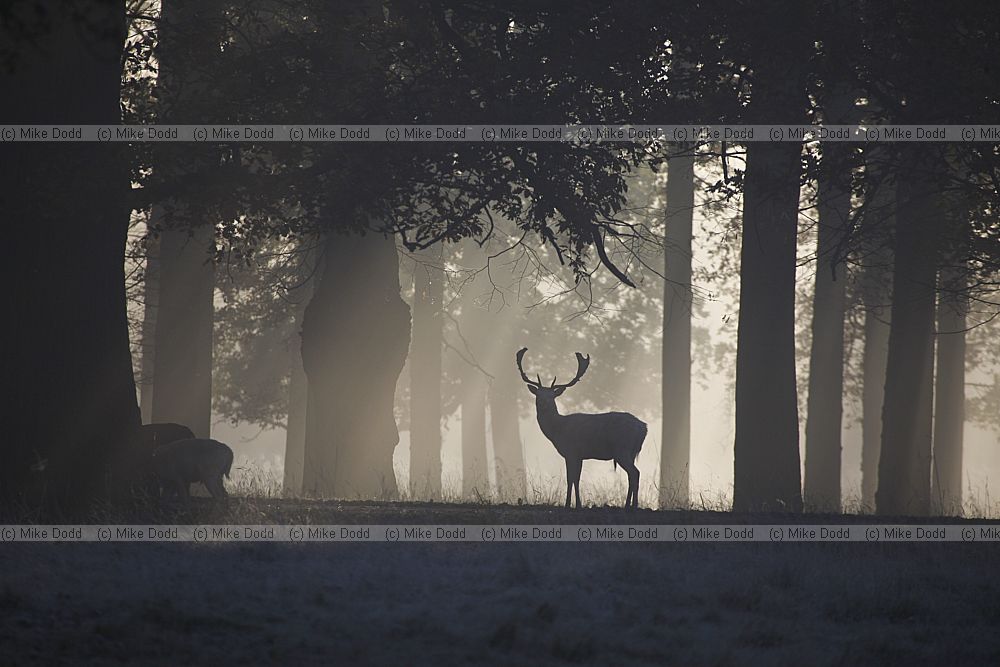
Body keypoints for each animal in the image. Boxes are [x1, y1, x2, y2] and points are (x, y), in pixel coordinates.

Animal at [516, 347, 647, 509]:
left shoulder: (571, 452)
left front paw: (570, 504)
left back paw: (633, 505)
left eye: (552, 396)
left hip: (622, 449)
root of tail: (643, 427)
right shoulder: (578, 455)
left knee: (635, 473)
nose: (544, 403)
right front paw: (574, 504)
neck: (558, 430)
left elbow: (571, 479)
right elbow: (574, 479)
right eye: (538, 395)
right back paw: (628, 505)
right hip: (630, 452)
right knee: (632, 475)